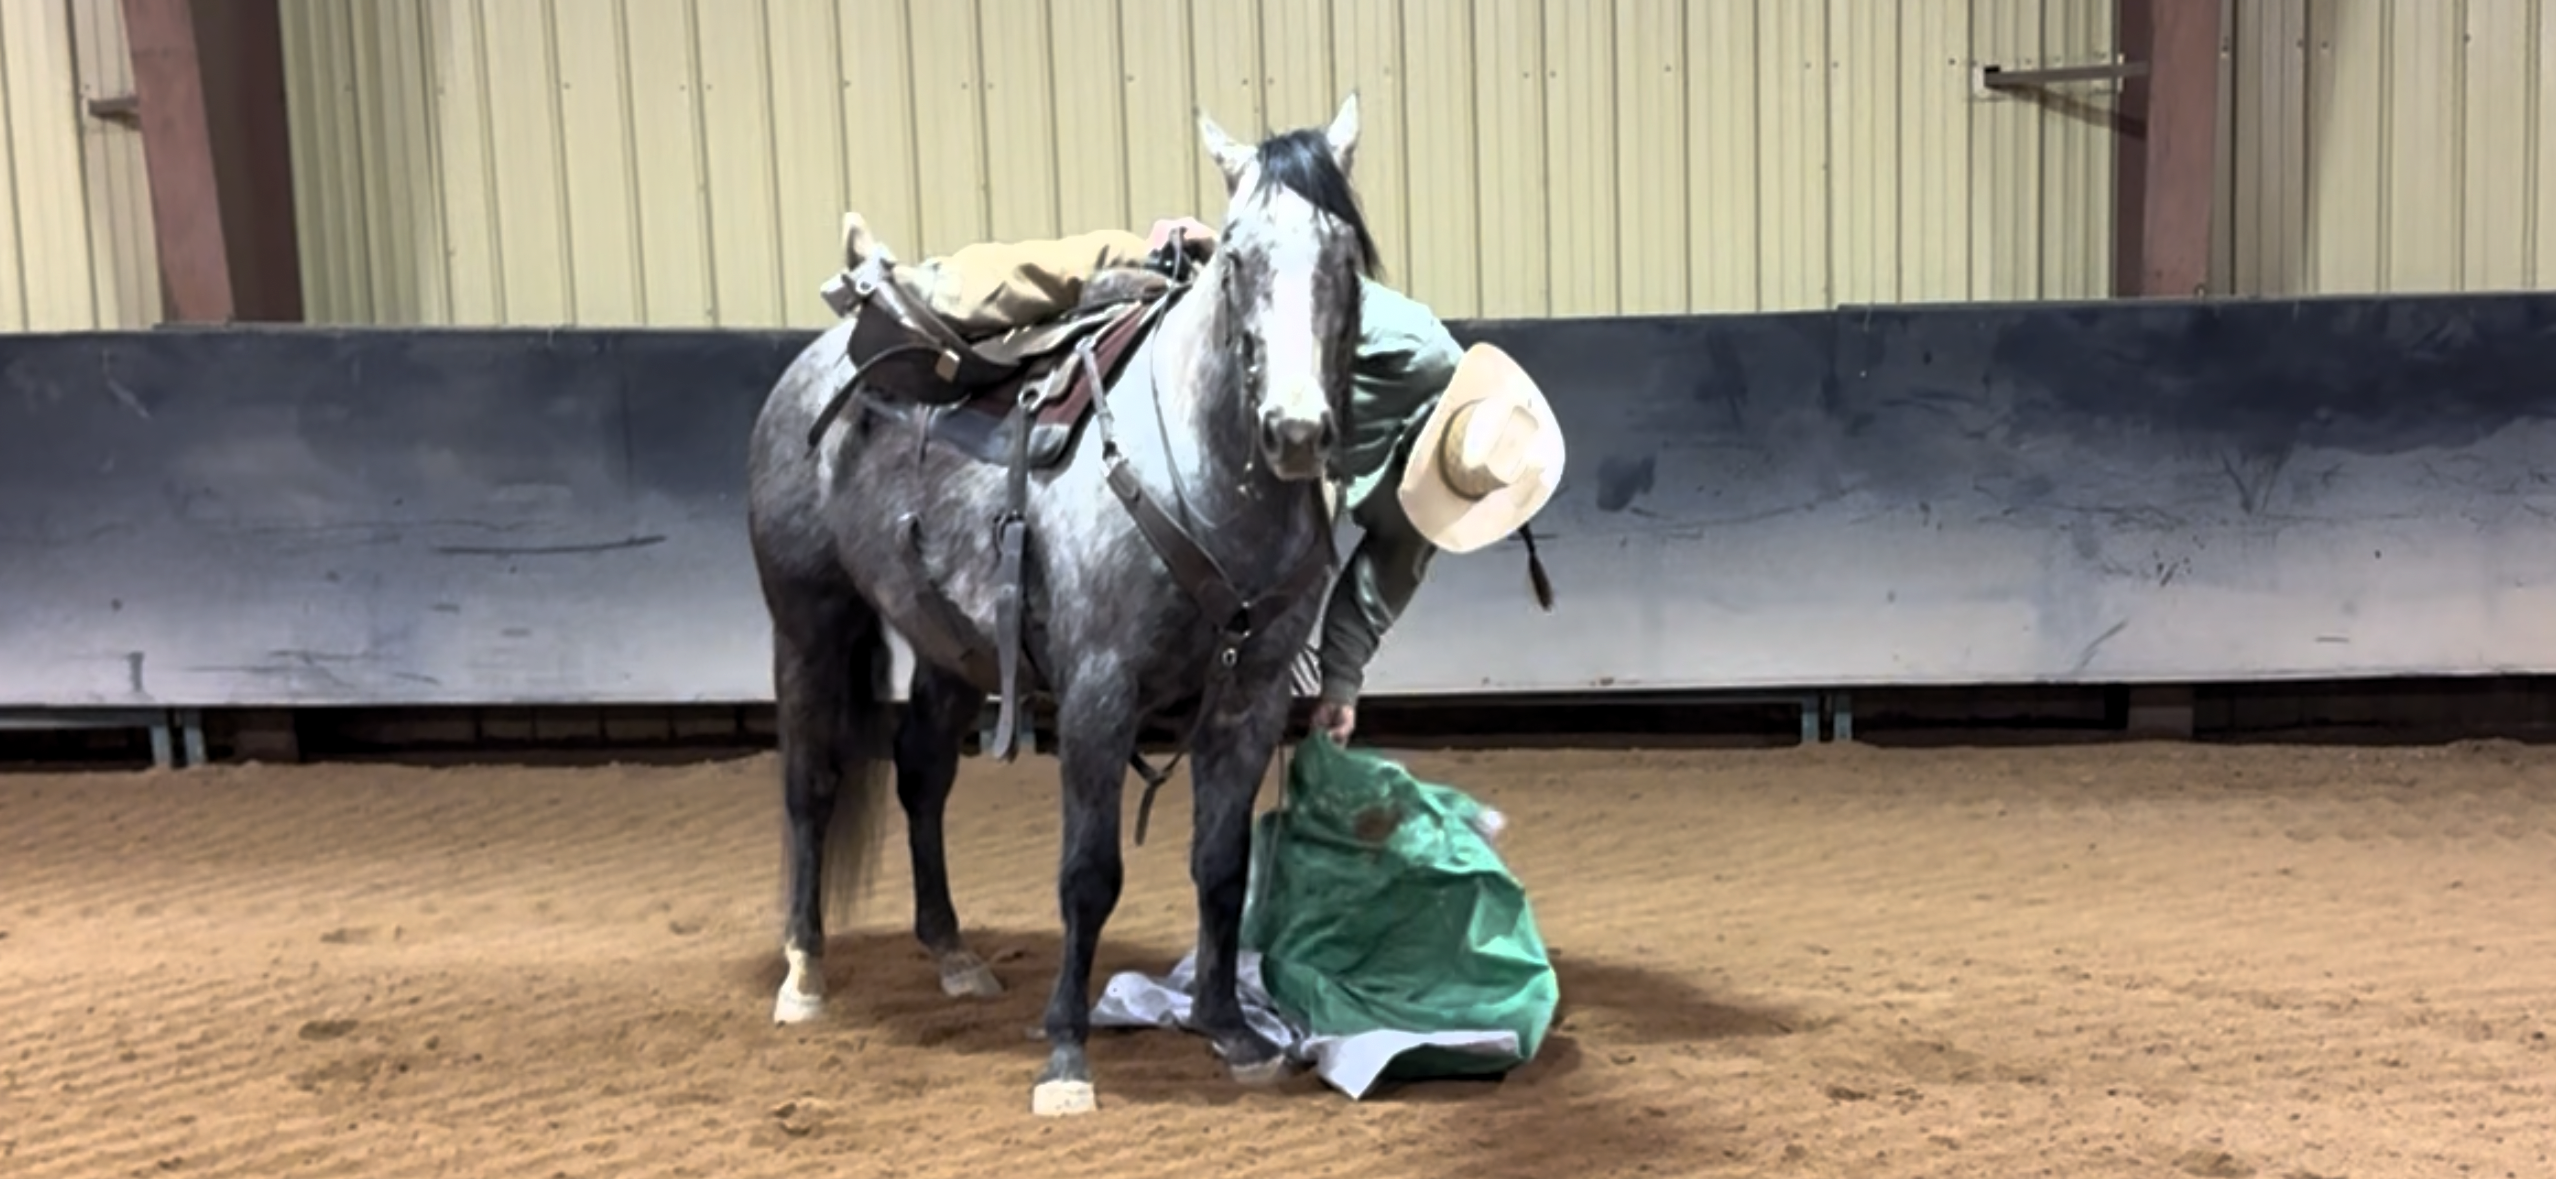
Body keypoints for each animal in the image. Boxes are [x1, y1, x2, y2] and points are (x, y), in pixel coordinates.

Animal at [741, 92, 1375, 1116]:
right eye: (1238, 256)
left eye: (1346, 258)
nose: (1295, 430)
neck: (1196, 474)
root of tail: (820, 363)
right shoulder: (1097, 696)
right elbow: (1088, 873)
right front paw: (1068, 1054)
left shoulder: (1252, 698)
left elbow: (1221, 864)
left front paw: (1229, 1029)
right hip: (809, 623)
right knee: (811, 782)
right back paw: (804, 971)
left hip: (953, 648)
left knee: (922, 771)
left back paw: (953, 954)